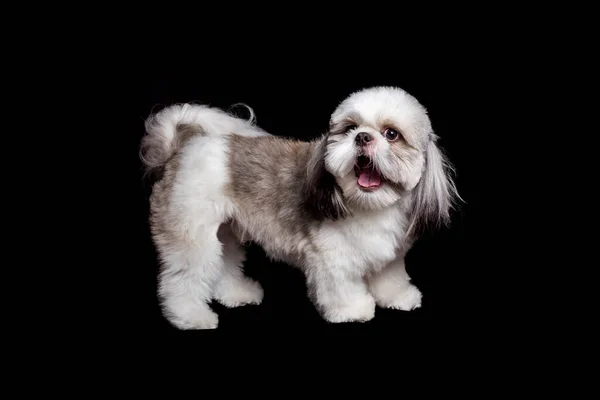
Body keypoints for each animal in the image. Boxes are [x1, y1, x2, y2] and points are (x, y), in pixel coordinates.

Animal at [141, 86, 460, 330]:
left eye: (392, 134)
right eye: (350, 128)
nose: (363, 137)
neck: (369, 205)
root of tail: (179, 149)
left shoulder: (389, 256)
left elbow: (390, 276)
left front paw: (398, 297)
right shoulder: (332, 258)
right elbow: (341, 287)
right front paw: (353, 310)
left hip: (225, 233)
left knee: (224, 264)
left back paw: (238, 294)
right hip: (190, 234)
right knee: (183, 277)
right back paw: (190, 317)